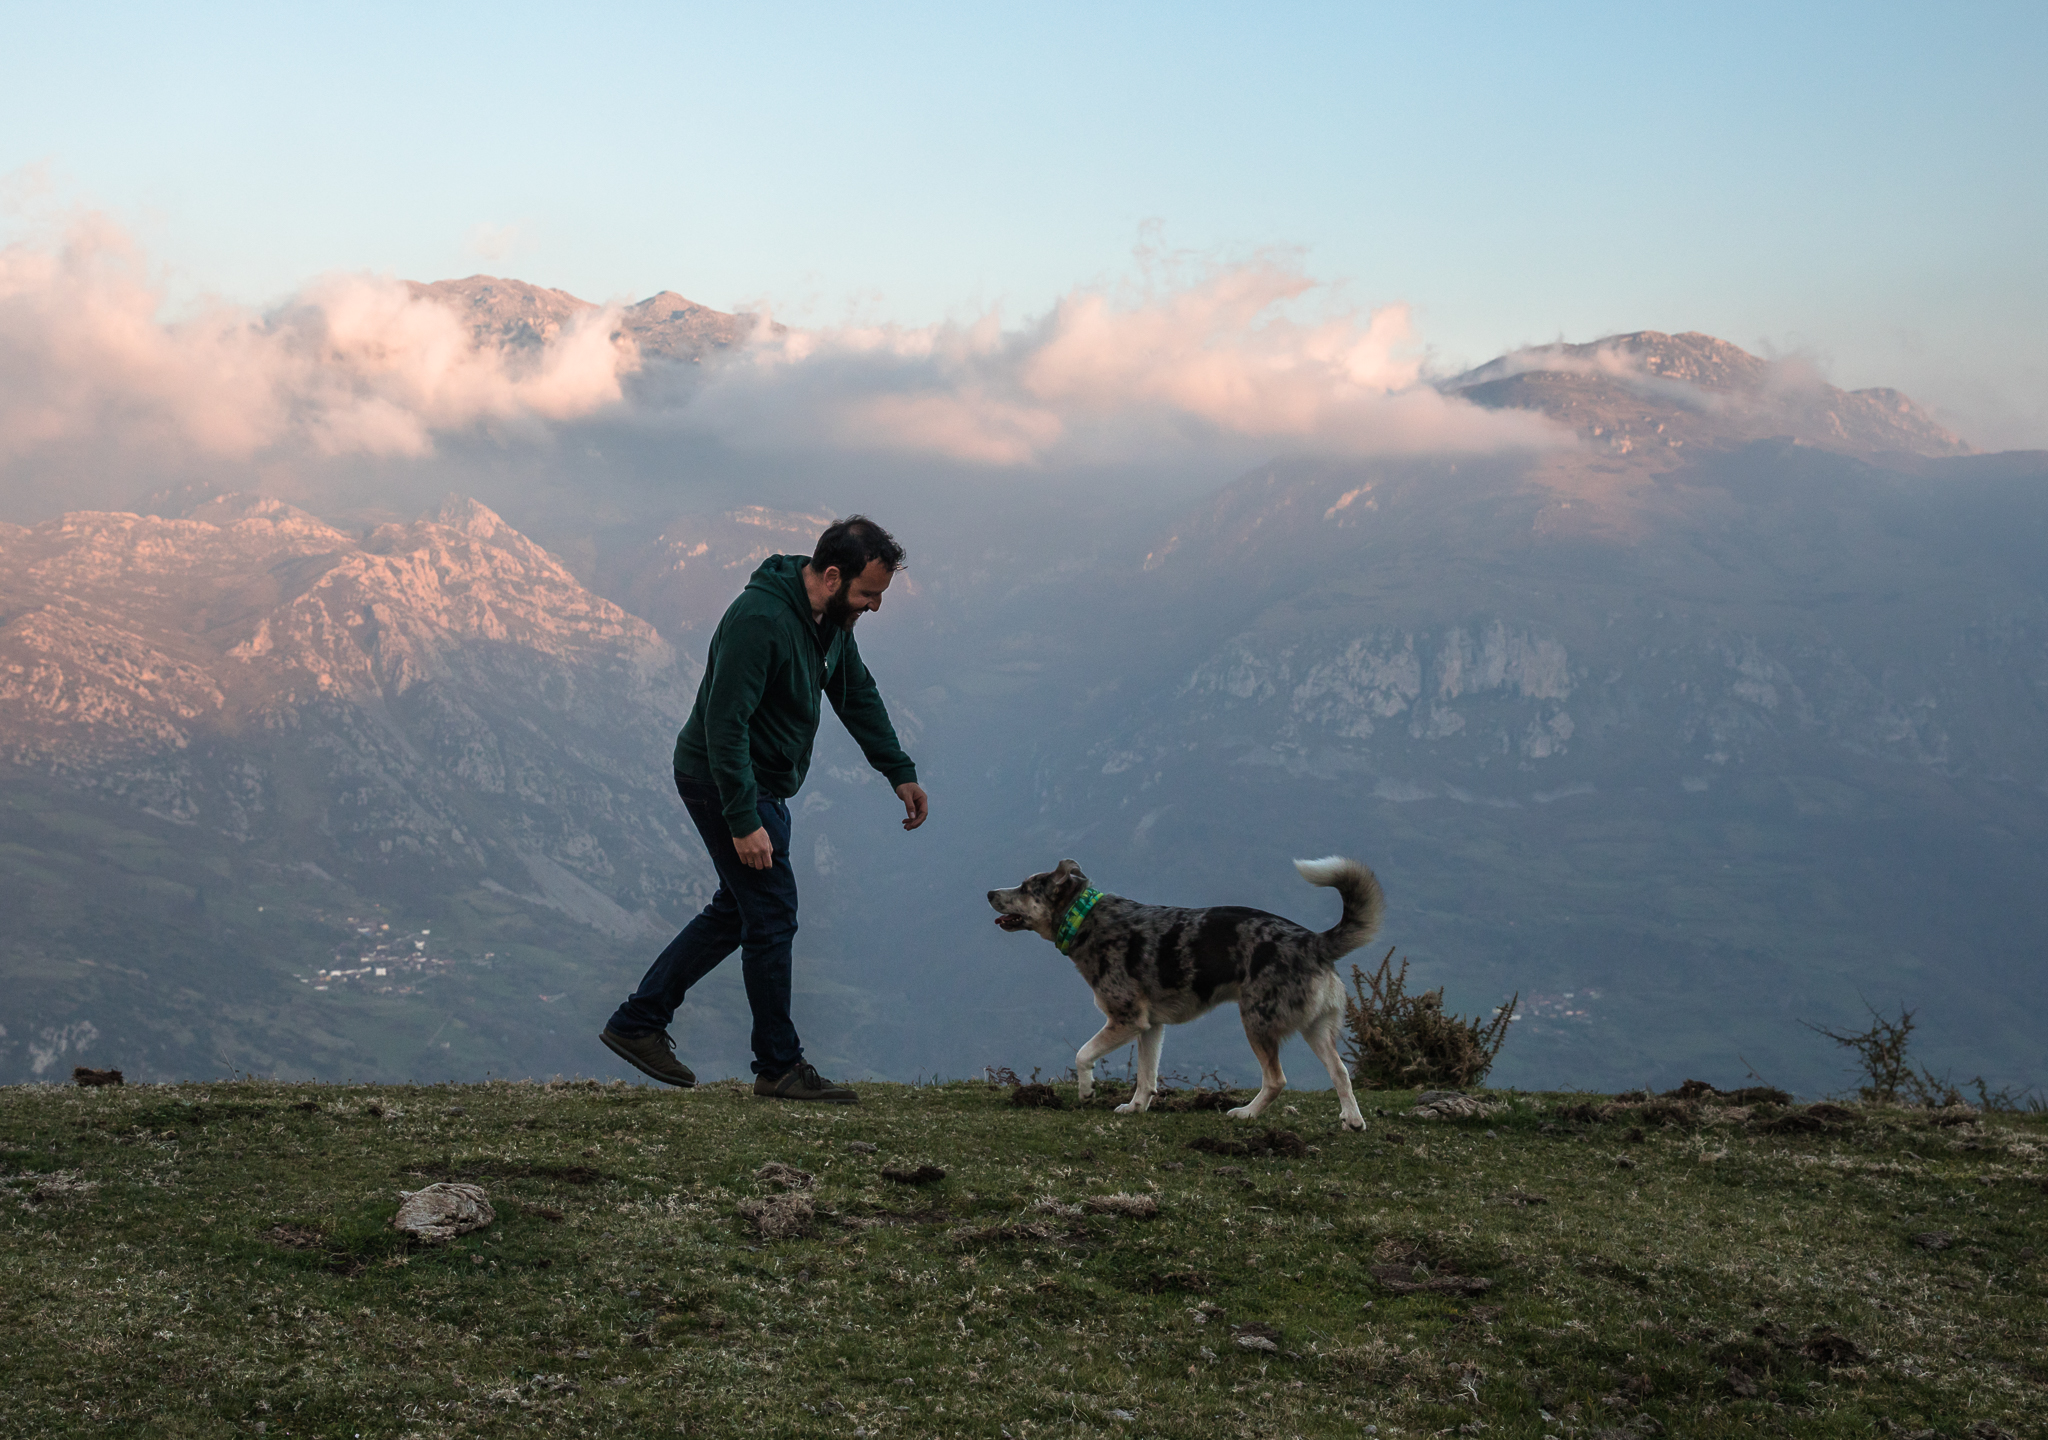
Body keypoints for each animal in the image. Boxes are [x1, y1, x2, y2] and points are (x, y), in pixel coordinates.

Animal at [987, 856, 1384, 1130]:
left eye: (1025, 887)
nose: (989, 892)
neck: (1083, 917)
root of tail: (1312, 941)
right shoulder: (1150, 1027)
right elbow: (1146, 1077)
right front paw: (1136, 1107)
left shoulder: (1126, 1019)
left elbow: (1083, 1054)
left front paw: (1086, 1091)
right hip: (1315, 1029)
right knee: (1340, 1072)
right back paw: (1352, 1121)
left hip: (1257, 1021)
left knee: (1276, 1080)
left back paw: (1246, 1113)